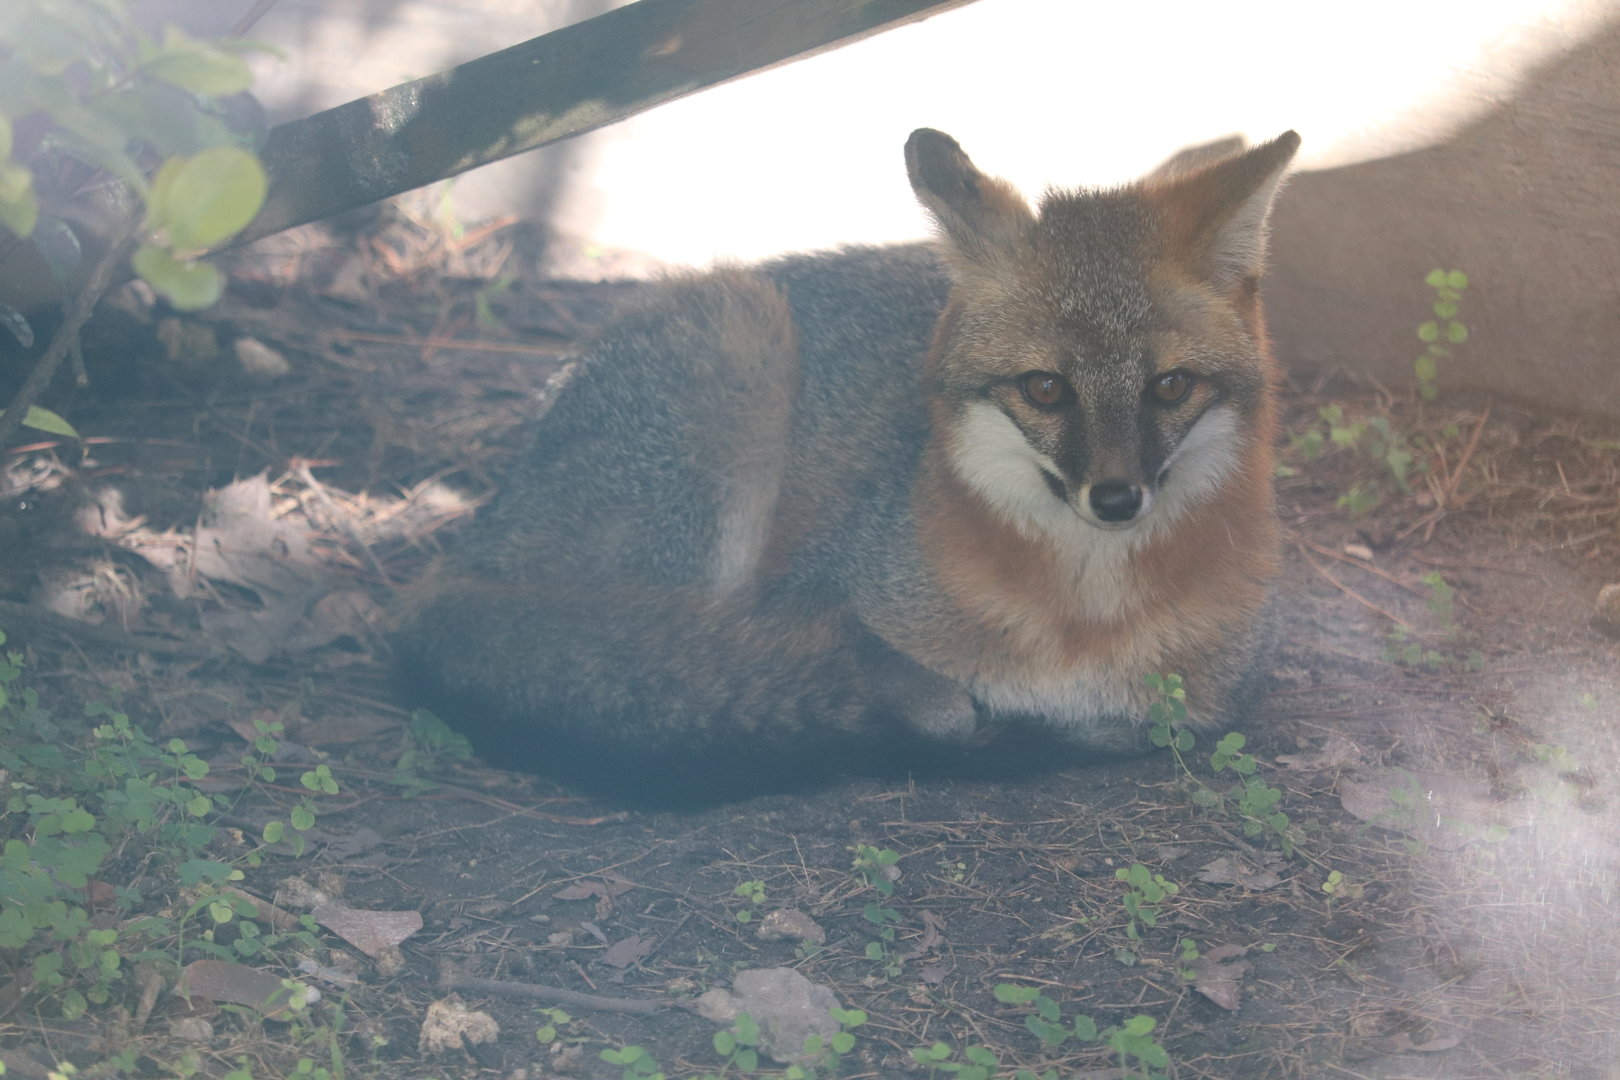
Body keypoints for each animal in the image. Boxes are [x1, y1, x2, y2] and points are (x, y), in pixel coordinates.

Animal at [394, 127, 1301, 806]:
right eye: (1045, 388)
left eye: (1169, 386)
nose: (1116, 498)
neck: (1079, 621)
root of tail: (473, 548)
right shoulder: (820, 595)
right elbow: (924, 694)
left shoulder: (1204, 698)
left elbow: (1137, 722)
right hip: (740, 346)